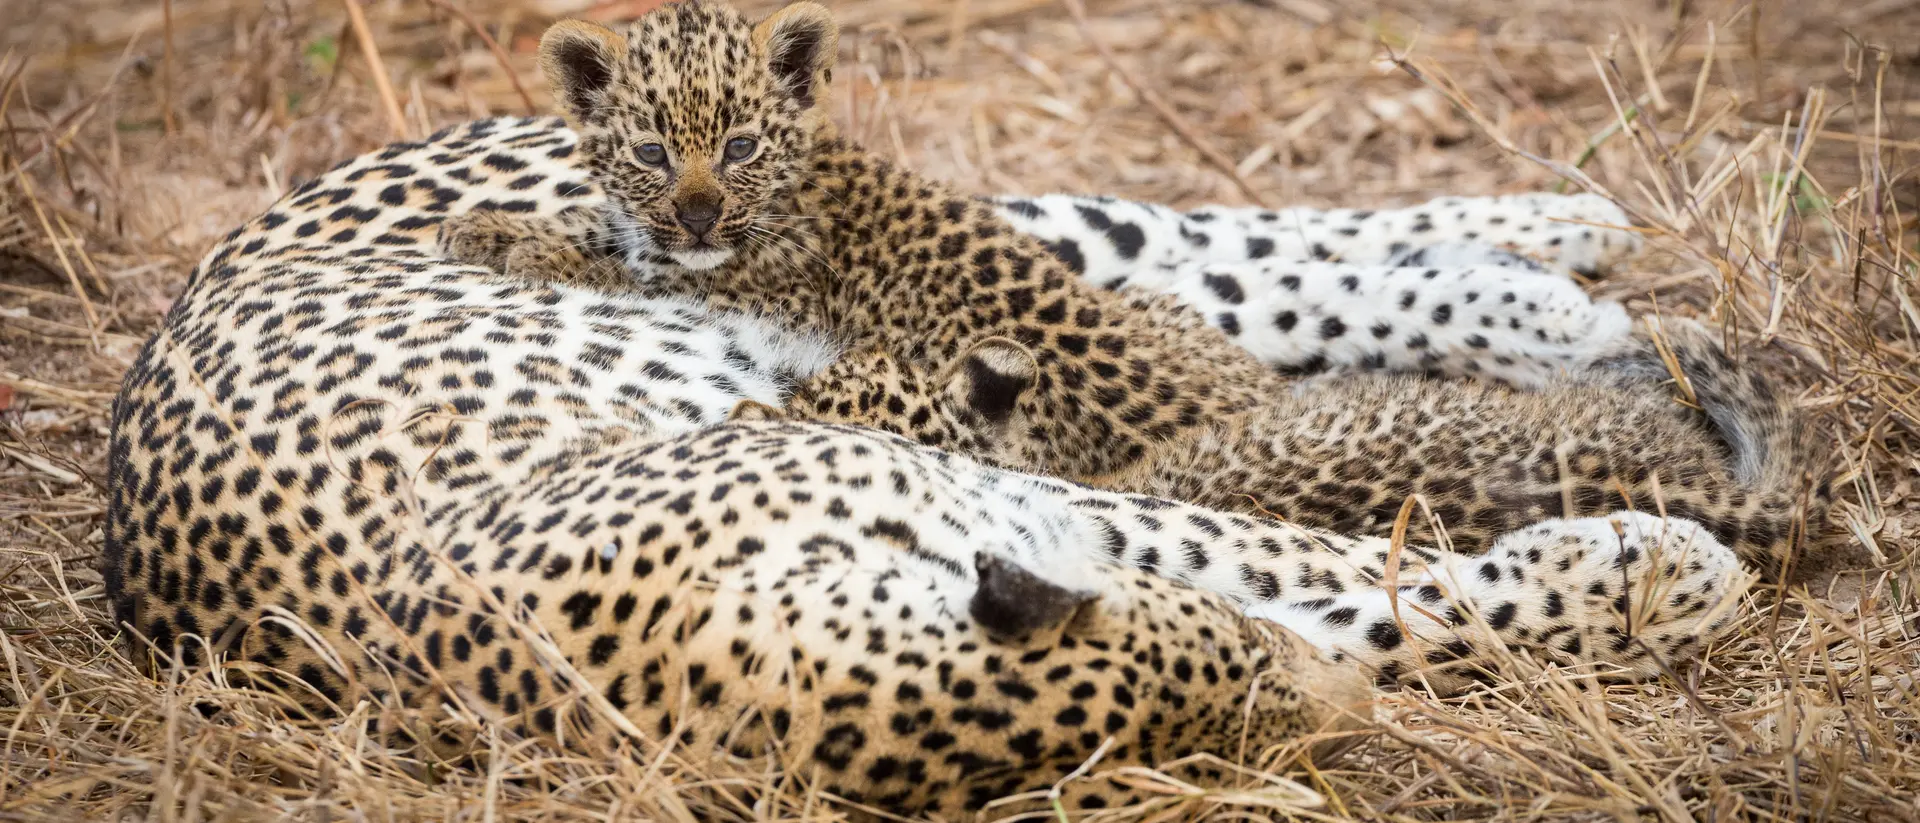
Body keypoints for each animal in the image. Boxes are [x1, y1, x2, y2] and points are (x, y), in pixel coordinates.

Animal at [98, 8, 1747, 821]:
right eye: (1234, 698)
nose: (1316, 712)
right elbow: (1363, 597)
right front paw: (1638, 569)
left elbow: (1322, 561)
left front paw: (1657, 560)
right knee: (1211, 286)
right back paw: (1552, 277)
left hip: (918, 224)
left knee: (1195, 235)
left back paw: (1552, 250)